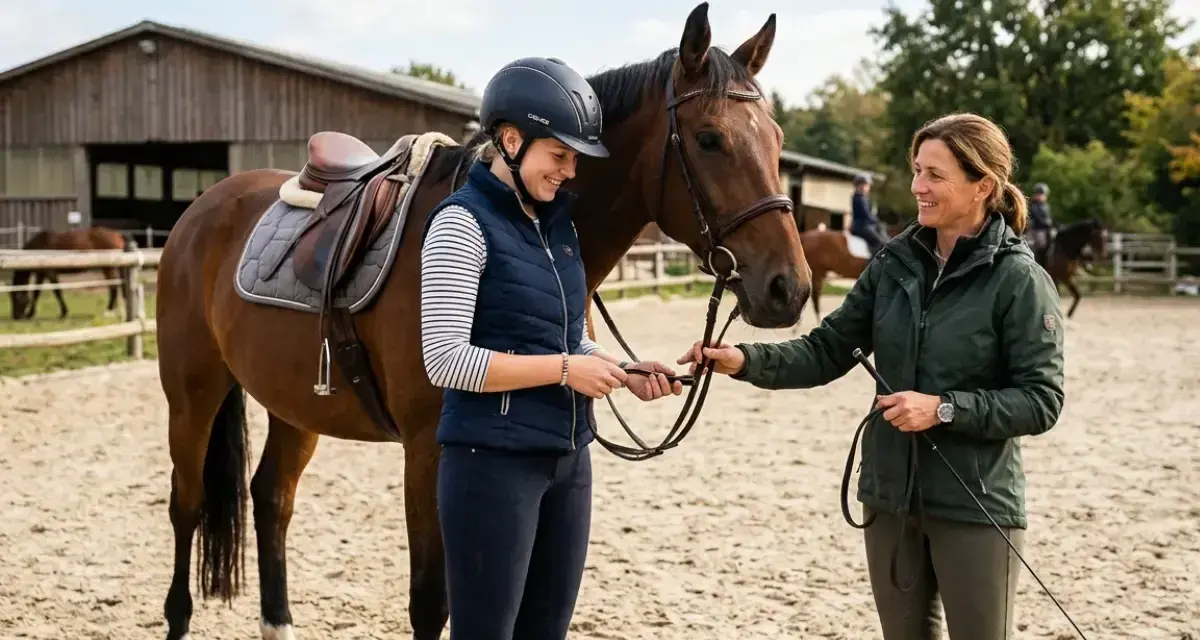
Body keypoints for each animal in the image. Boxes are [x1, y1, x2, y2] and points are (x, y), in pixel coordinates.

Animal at [153, 5, 812, 639]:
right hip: (192, 397)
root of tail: (204, 207)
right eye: (709, 138)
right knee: (187, 506)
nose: (790, 288)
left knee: (272, 499)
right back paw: (179, 617)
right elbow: (430, 604)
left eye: (777, 138)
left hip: (295, 405)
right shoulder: (428, 452)